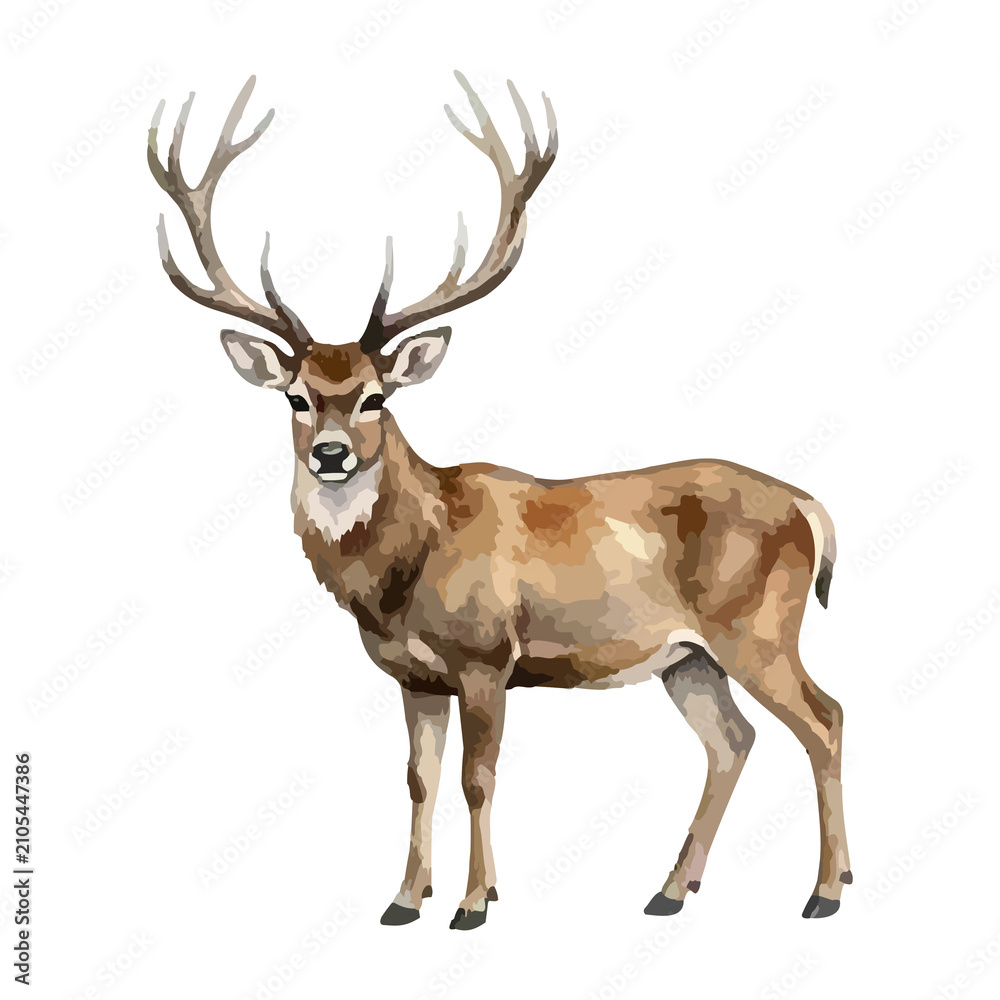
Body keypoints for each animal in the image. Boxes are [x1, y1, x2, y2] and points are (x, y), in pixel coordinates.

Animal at [148, 73, 851, 931]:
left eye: (376, 396)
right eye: (296, 398)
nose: (331, 453)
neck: (406, 569)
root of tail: (813, 509)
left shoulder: (486, 657)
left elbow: (476, 781)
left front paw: (475, 902)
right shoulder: (414, 677)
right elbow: (417, 780)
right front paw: (403, 900)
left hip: (759, 626)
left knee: (824, 719)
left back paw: (825, 891)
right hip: (688, 656)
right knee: (733, 740)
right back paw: (669, 890)